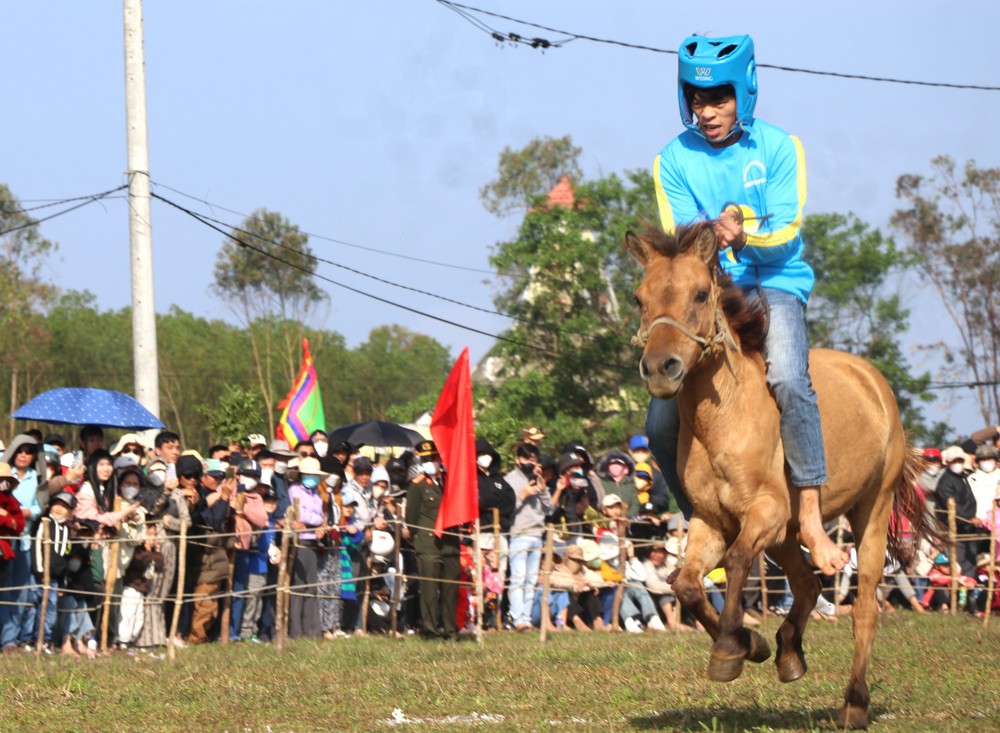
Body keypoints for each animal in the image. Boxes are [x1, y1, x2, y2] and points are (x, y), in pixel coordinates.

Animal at [624, 222, 928, 728]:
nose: (661, 369)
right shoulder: (710, 521)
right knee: (808, 583)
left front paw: (730, 649)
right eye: (638, 298)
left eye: (701, 293)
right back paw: (789, 652)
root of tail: (873, 381)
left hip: (871, 510)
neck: (725, 417)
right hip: (788, 535)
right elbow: (685, 585)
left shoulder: (764, 512)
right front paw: (753, 644)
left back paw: (855, 703)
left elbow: (737, 562)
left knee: (864, 608)